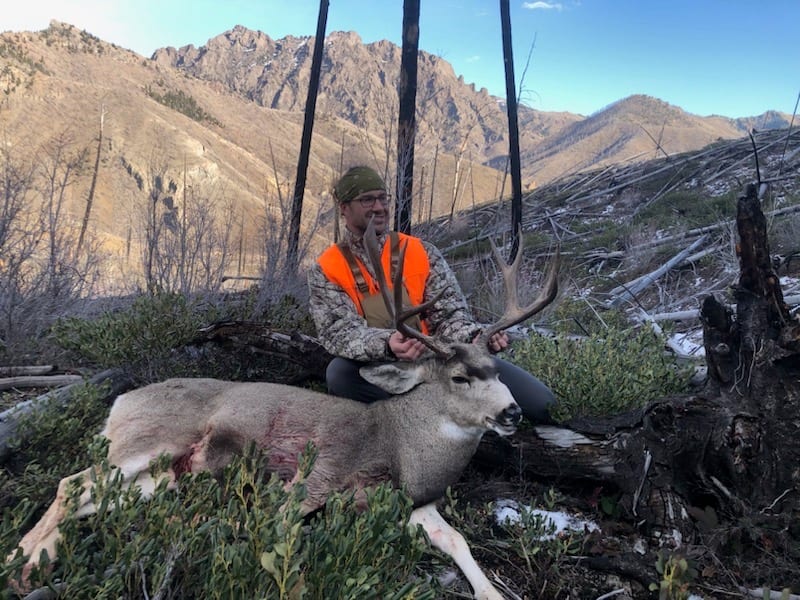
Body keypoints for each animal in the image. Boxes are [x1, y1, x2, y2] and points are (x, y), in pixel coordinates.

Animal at [9, 222, 559, 600]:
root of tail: (120, 400)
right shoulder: (322, 474)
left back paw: (42, 559)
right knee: (71, 482)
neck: (404, 447)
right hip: (152, 437)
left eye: (498, 369)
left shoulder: (415, 502)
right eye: (459, 377)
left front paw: (491, 592)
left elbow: (458, 540)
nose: (512, 413)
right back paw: (24, 565)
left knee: (91, 496)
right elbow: (283, 527)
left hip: (160, 476)